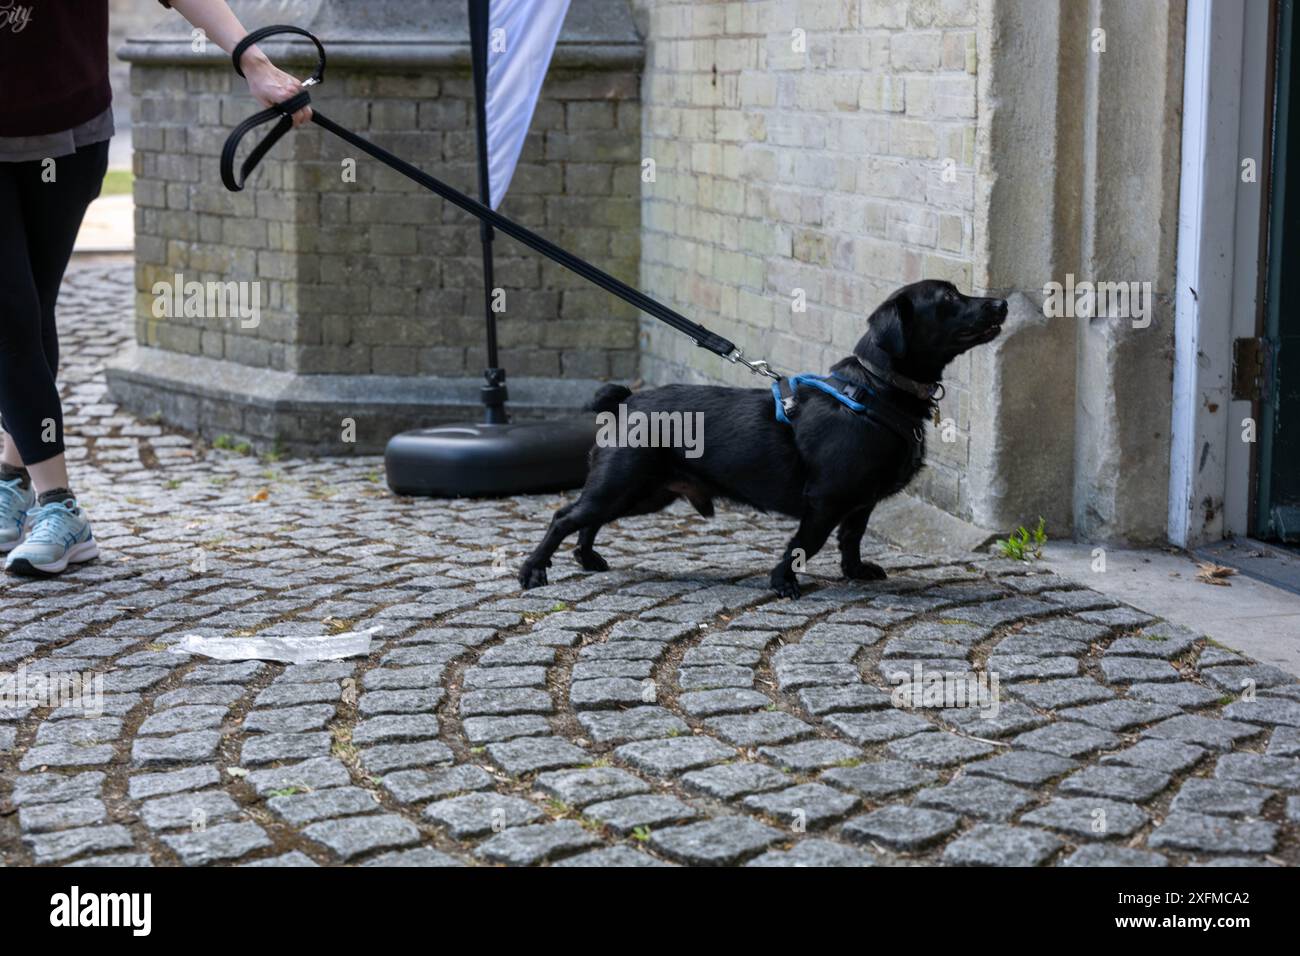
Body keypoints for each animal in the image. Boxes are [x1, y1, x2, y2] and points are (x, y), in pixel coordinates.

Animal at [517, 277, 1003, 598]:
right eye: (948, 297)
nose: (1000, 302)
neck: (874, 390)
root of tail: (626, 402)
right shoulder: (825, 500)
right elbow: (805, 543)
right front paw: (784, 582)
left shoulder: (860, 503)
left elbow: (851, 539)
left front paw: (855, 571)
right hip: (623, 483)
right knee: (565, 516)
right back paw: (533, 571)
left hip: (644, 494)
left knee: (589, 520)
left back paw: (587, 559)